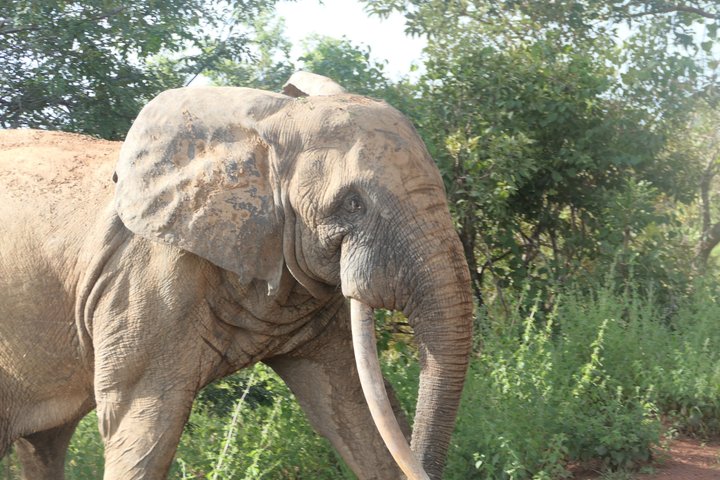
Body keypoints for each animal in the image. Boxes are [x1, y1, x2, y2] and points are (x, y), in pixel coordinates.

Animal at [0, 72, 473, 480]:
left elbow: (352, 406)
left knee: (43, 443)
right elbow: (147, 423)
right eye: (352, 204)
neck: (265, 129)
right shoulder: (144, 282)